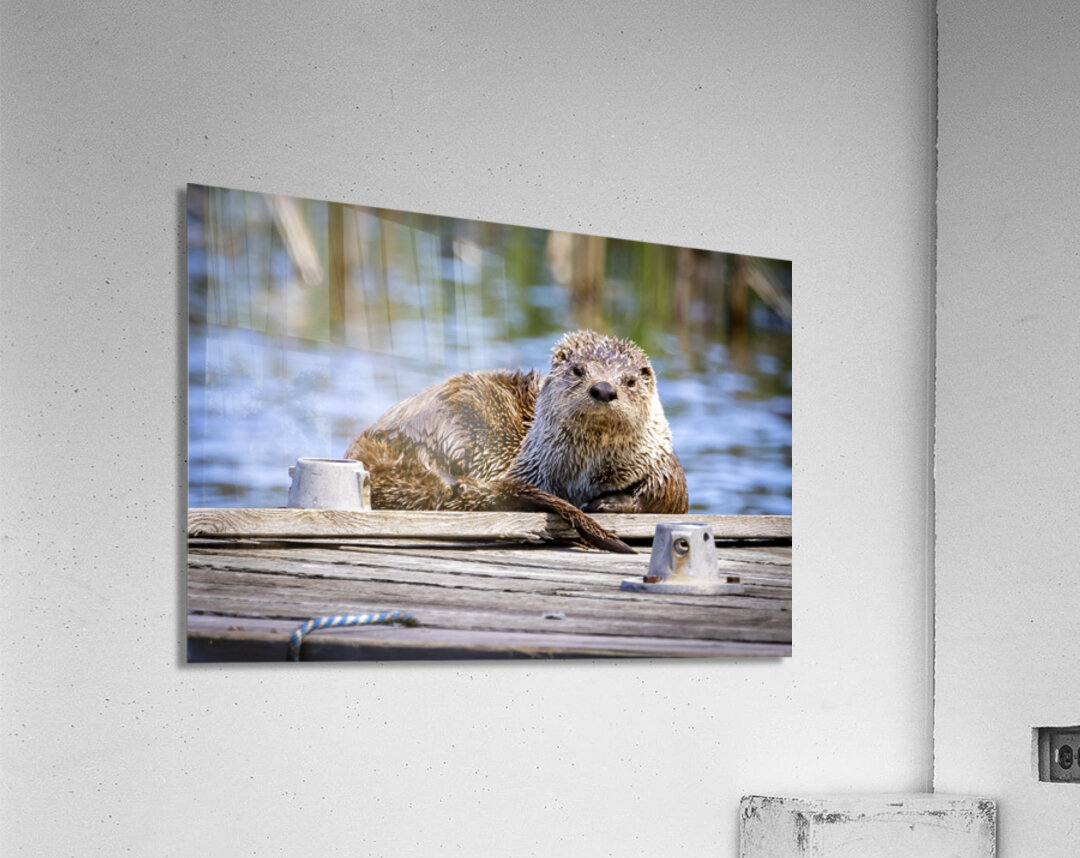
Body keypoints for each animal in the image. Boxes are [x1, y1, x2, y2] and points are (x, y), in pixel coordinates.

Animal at [345, 330, 688, 553]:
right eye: (578, 370)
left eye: (629, 381)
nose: (603, 388)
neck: (587, 475)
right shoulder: (530, 468)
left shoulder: (660, 459)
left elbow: (669, 494)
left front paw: (608, 503)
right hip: (460, 416)